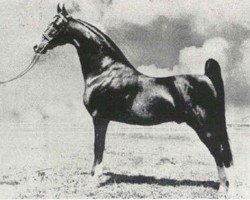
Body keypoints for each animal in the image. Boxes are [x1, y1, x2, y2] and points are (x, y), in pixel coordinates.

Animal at [33, 5, 234, 194]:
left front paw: (93, 181)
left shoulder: (99, 118)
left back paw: (224, 188)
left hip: (204, 126)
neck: (105, 71)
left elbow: (98, 148)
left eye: (56, 25)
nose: (37, 46)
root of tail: (206, 78)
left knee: (218, 152)